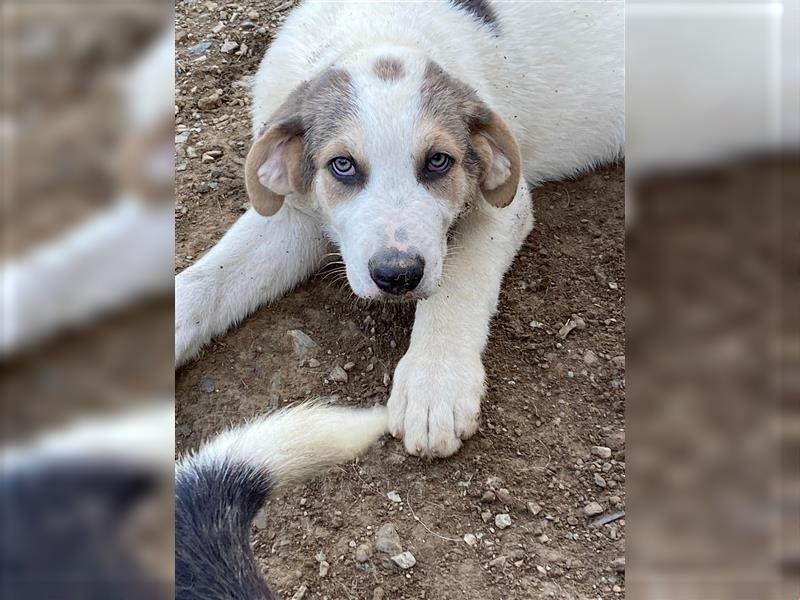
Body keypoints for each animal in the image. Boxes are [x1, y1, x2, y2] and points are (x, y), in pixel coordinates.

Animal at [175, 0, 624, 458]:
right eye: (342, 165)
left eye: (439, 161)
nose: (398, 276)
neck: (377, 32)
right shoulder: (291, 214)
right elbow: (205, 281)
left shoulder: (504, 205)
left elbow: (458, 280)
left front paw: (435, 382)